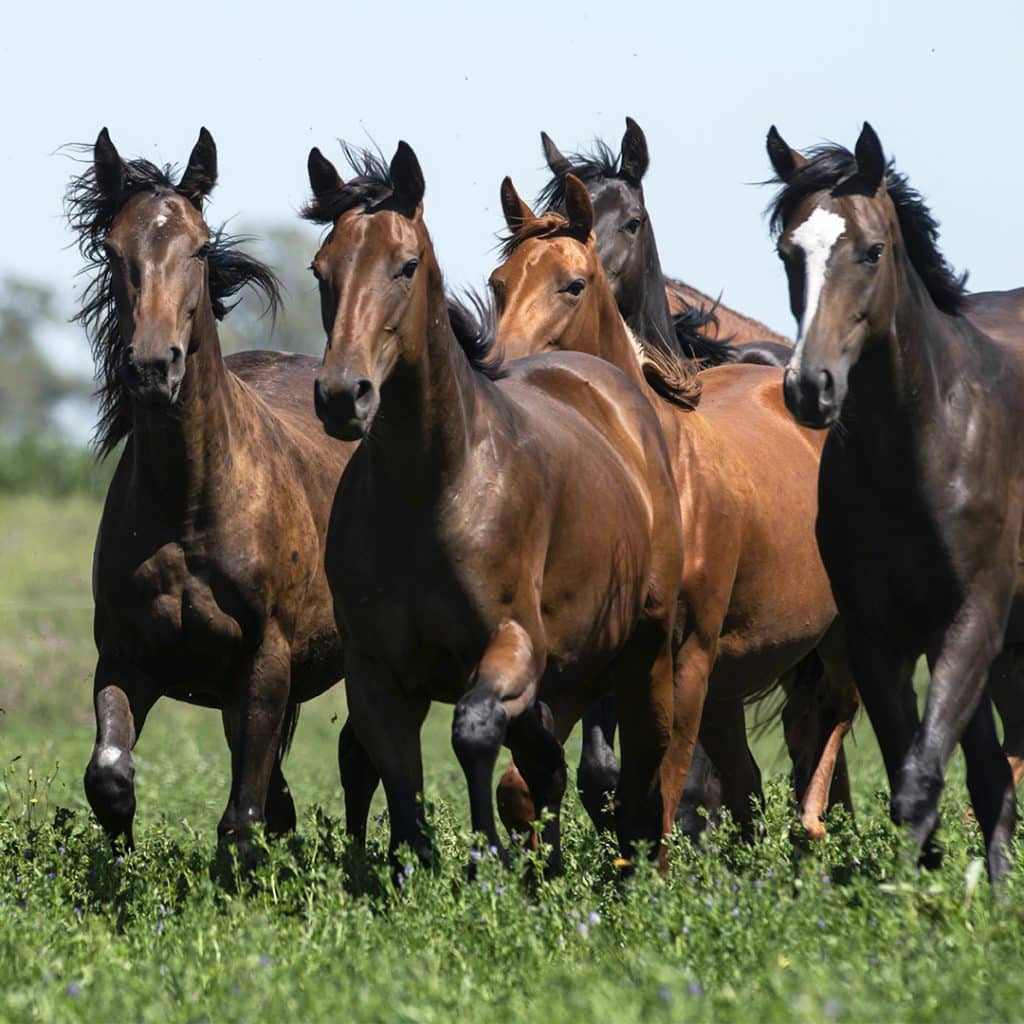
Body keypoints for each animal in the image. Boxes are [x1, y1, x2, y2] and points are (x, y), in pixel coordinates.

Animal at [66, 129, 353, 861]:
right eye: (113, 249)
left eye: (197, 247)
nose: (150, 366)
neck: (191, 510)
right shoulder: (124, 655)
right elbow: (109, 776)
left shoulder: (264, 664)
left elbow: (241, 816)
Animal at [304, 139, 688, 873]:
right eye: (321, 270)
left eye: (406, 265)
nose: (343, 396)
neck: (431, 490)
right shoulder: (376, 678)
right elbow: (400, 787)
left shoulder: (512, 642)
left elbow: (476, 731)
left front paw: (489, 862)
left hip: (645, 650)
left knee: (650, 762)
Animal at [488, 172, 860, 845]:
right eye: (498, 282)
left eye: (573, 284)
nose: (501, 366)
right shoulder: (583, 668)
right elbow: (524, 789)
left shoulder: (683, 660)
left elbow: (658, 795)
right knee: (750, 776)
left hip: (834, 635)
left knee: (833, 713)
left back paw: (813, 825)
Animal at [766, 122, 1024, 880]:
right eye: (789, 251)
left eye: (872, 250)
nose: (810, 387)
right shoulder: (878, 636)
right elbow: (927, 774)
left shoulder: (971, 620)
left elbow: (921, 777)